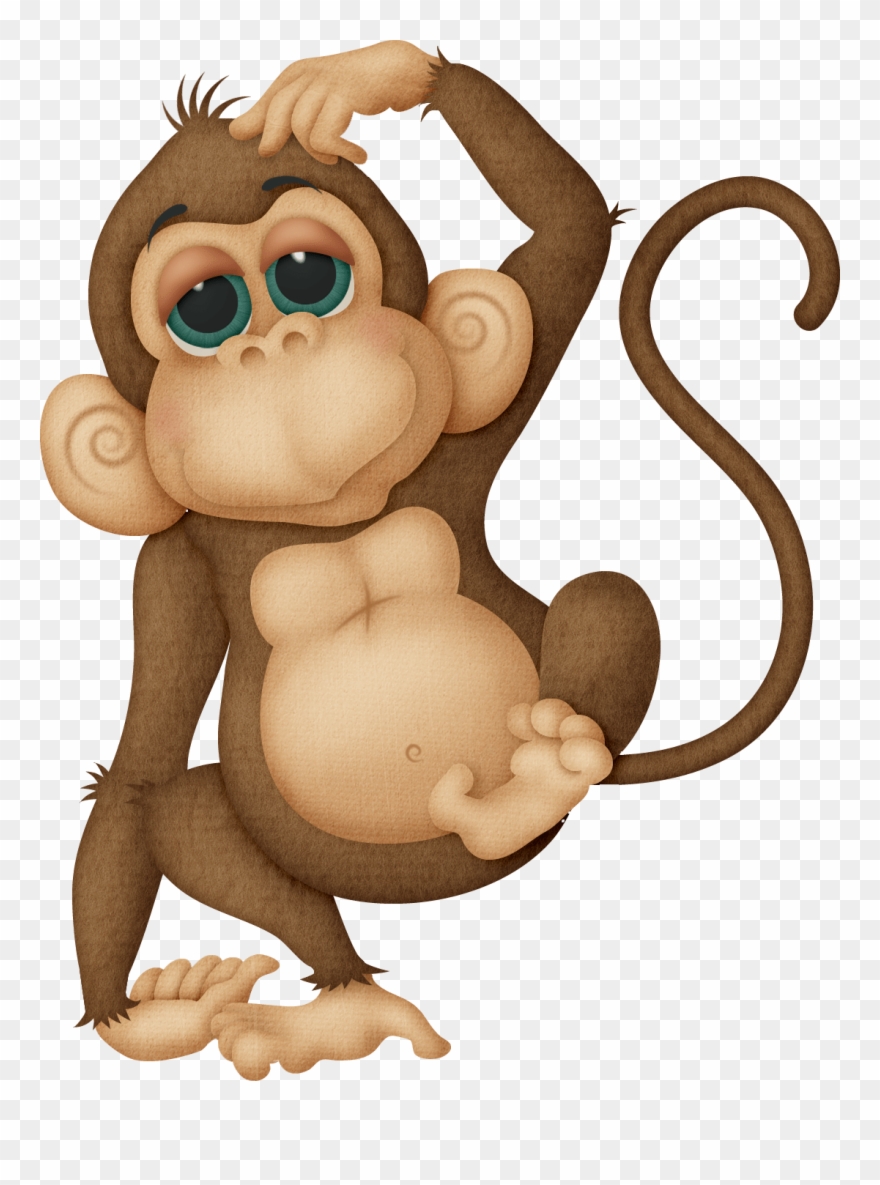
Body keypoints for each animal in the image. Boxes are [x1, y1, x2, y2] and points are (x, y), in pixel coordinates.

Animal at [39, 42, 839, 1080]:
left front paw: (360, 77)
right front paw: (141, 1023)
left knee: (608, 600)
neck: (326, 522)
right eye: (206, 308)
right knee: (187, 810)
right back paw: (342, 1001)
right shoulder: (168, 565)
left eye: (307, 274)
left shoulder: (464, 438)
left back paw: (541, 778)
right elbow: (139, 770)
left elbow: (569, 234)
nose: (280, 345)